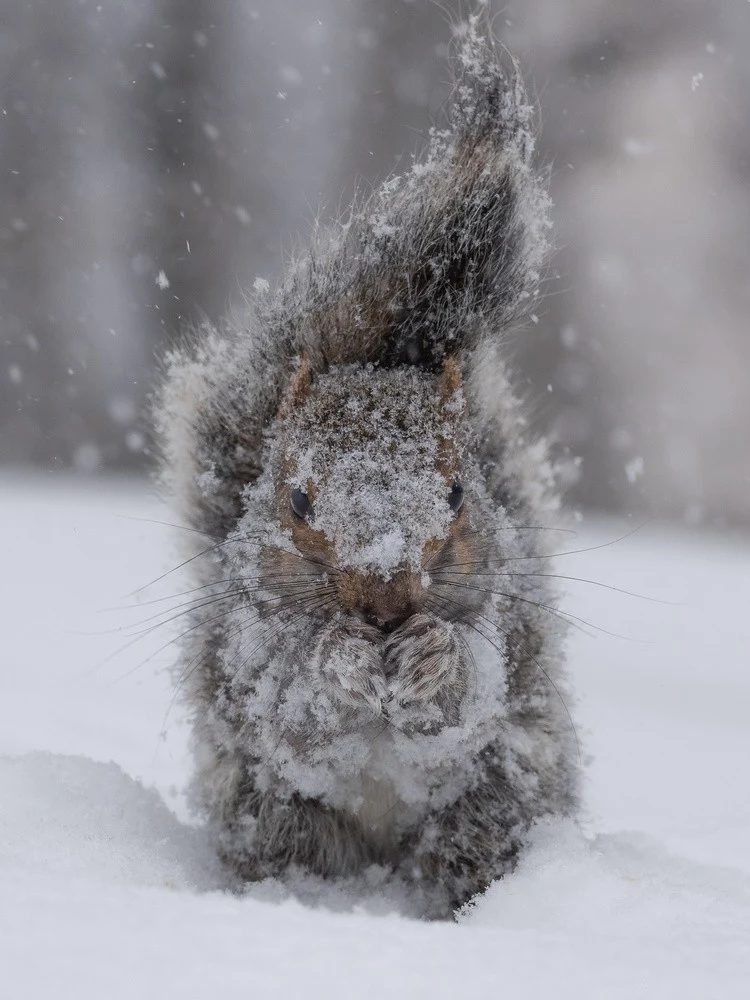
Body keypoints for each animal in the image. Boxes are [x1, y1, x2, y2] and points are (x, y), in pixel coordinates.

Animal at [153, 15, 580, 918]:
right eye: (297, 499)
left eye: (457, 494)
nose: (384, 604)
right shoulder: (244, 649)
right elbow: (293, 709)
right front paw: (340, 662)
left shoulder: (509, 629)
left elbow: (473, 694)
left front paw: (433, 659)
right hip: (269, 813)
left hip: (502, 795)